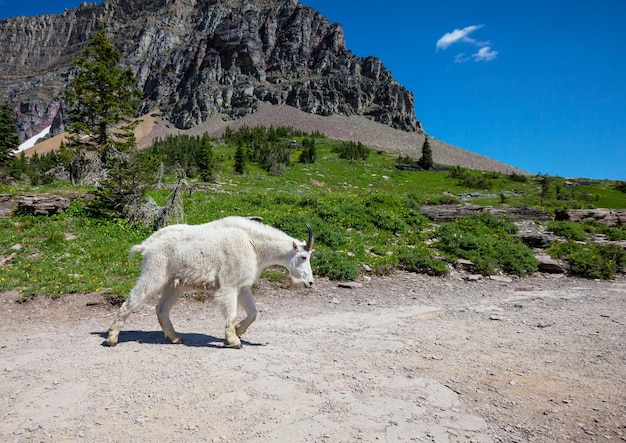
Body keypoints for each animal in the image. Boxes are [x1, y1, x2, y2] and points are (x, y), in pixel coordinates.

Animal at [106, 217, 316, 348]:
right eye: (304, 257)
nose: (310, 282)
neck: (253, 245)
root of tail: (147, 245)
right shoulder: (229, 285)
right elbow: (231, 313)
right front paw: (233, 341)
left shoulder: (242, 286)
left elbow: (253, 313)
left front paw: (238, 332)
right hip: (154, 273)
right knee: (132, 301)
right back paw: (112, 338)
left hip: (174, 284)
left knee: (162, 309)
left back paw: (175, 337)